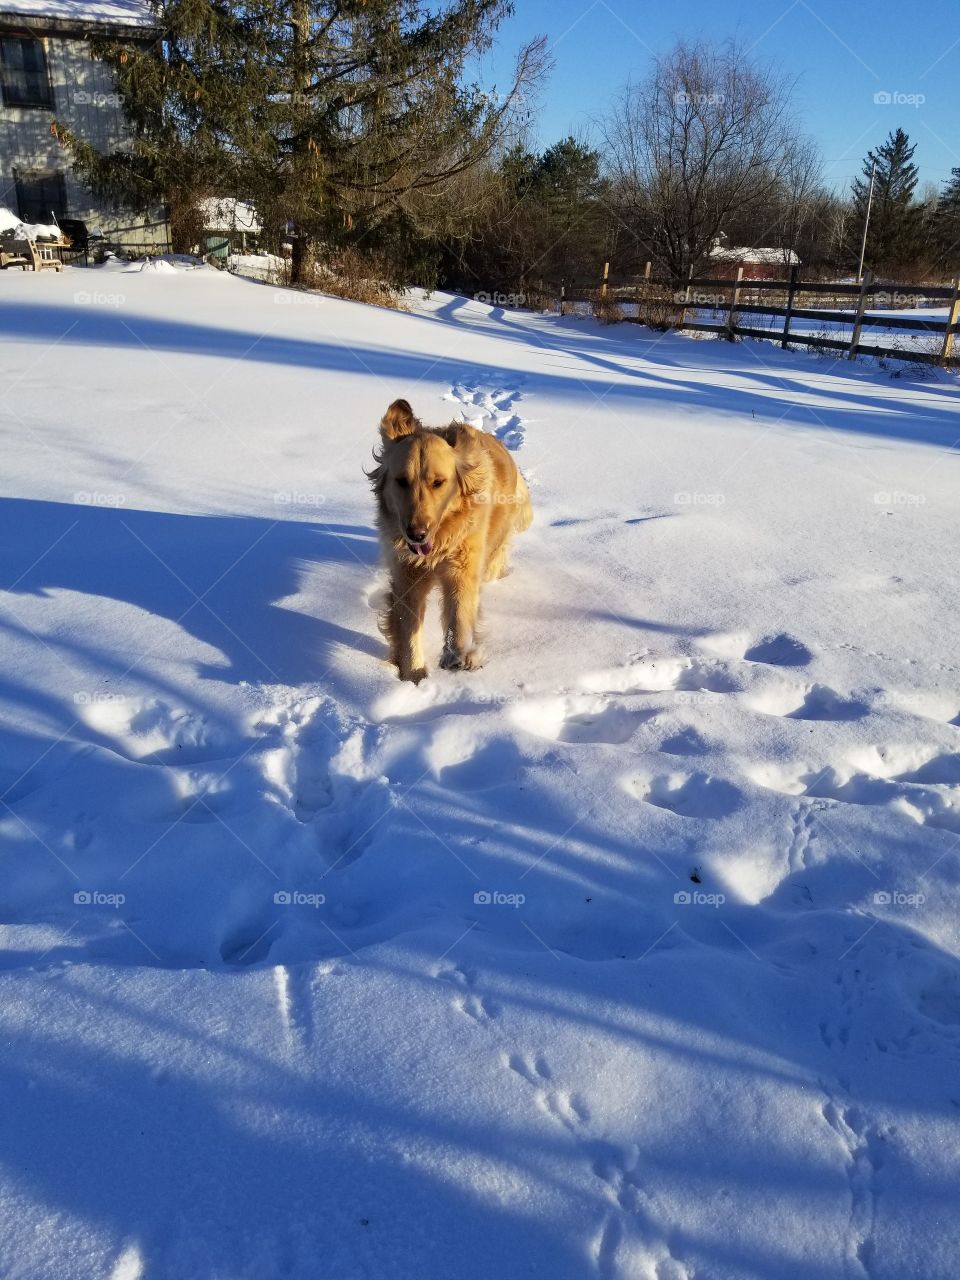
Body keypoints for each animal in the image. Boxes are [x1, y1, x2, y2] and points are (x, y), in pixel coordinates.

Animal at [368, 399, 535, 686]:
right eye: (401, 481)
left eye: (438, 482)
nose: (416, 534)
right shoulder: (407, 575)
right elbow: (407, 626)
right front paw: (413, 676)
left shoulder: (463, 566)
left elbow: (459, 610)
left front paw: (458, 655)